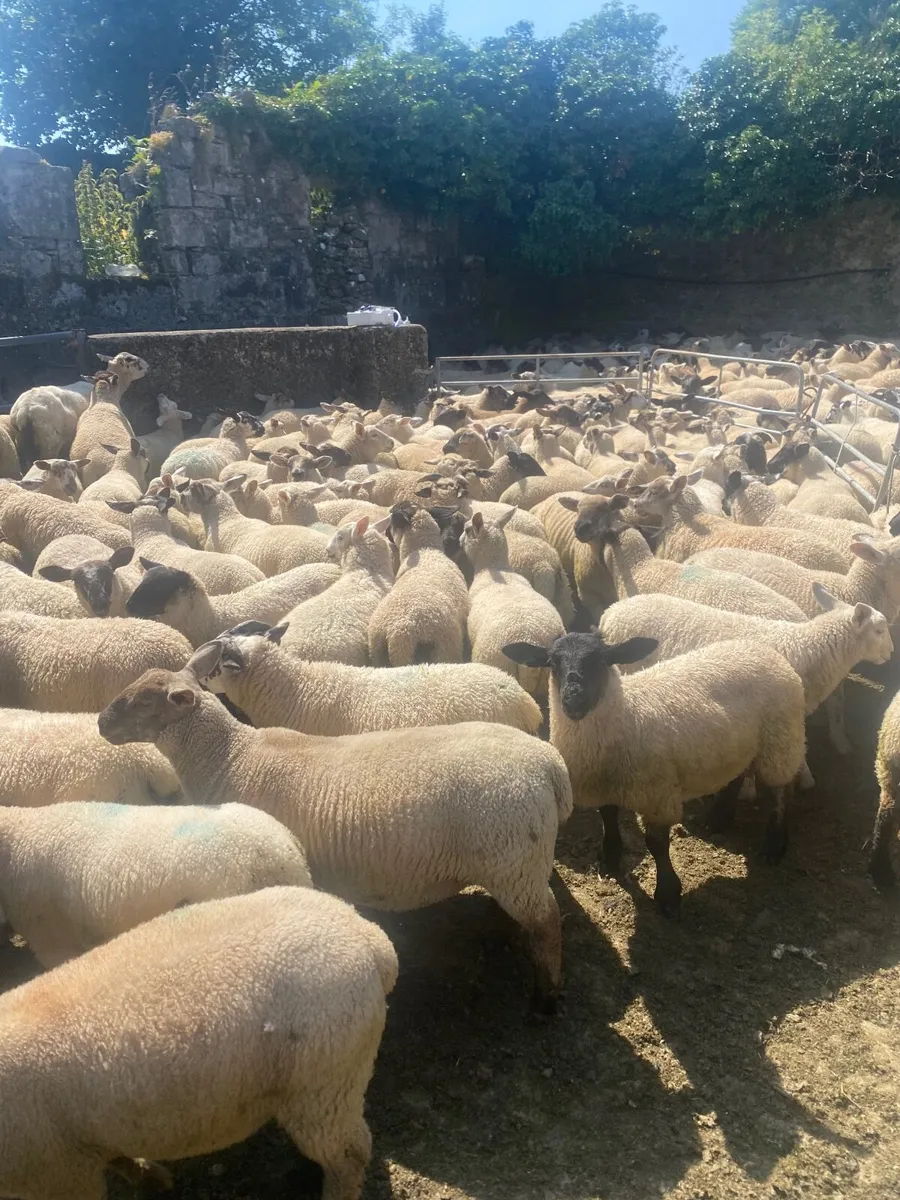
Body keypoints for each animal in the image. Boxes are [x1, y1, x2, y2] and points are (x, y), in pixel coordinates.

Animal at [0, 885, 396, 1200]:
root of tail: (368, 935)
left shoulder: (59, 1175)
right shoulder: (83, 1146)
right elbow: (118, 1157)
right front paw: (149, 1176)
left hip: (324, 1085)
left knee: (349, 1154)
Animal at [99, 643, 571, 1012]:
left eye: (145, 701)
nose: (101, 722)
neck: (229, 757)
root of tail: (548, 762)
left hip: (513, 860)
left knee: (548, 923)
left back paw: (546, 997)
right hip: (517, 863)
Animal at [368, 503, 468, 666]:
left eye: (391, 519)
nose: (386, 533)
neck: (425, 549)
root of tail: (399, 635)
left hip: (377, 654)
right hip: (445, 651)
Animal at [503, 634, 806, 916]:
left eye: (602, 660)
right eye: (553, 663)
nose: (574, 699)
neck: (627, 716)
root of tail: (766, 651)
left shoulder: (657, 795)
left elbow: (656, 844)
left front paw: (668, 894)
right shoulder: (606, 787)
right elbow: (608, 818)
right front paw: (610, 857)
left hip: (780, 740)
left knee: (780, 789)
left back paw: (774, 845)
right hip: (738, 744)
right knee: (737, 775)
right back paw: (718, 818)